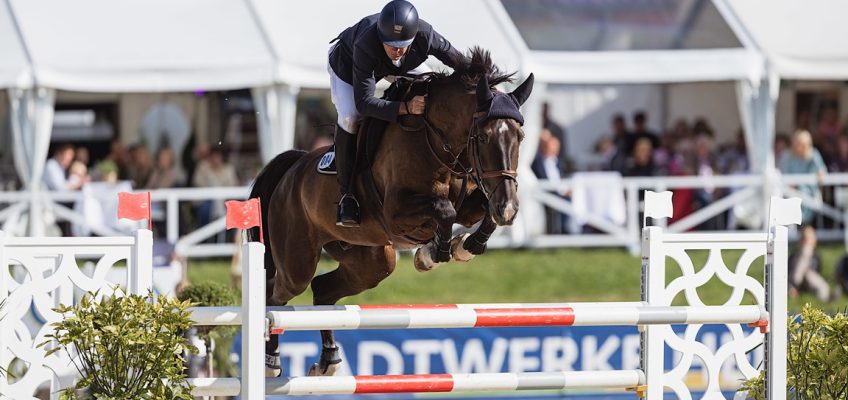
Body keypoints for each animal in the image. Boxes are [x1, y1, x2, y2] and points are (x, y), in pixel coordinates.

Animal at [248, 48, 532, 376]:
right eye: (483, 137)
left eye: (520, 137)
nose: (509, 208)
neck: (437, 143)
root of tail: (293, 167)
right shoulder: (397, 214)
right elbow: (445, 211)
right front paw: (434, 253)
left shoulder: (473, 202)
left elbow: (481, 211)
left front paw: (466, 246)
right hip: (297, 261)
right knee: (276, 294)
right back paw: (270, 362)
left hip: (371, 261)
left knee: (323, 289)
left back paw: (328, 360)